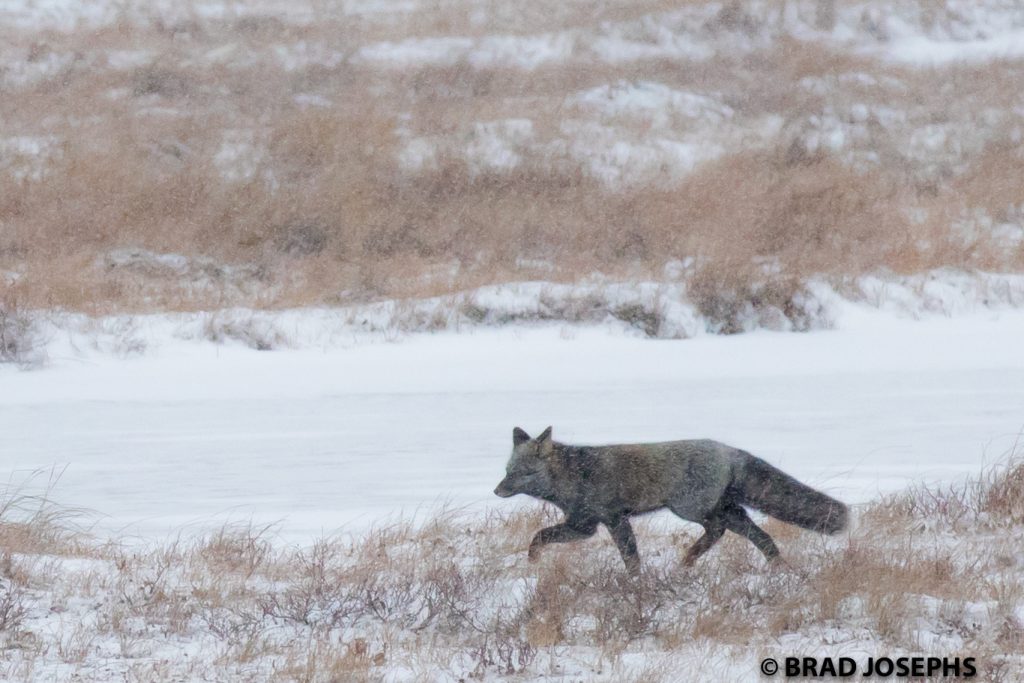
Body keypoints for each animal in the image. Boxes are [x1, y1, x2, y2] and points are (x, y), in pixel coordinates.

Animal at [494, 426, 848, 574]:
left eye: (522, 473)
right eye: (508, 470)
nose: (497, 490)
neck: (572, 475)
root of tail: (729, 450)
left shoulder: (601, 522)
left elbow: (628, 557)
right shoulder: (589, 524)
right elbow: (541, 537)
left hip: (692, 509)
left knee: (720, 530)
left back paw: (690, 559)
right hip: (721, 509)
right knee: (756, 533)